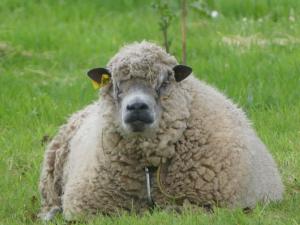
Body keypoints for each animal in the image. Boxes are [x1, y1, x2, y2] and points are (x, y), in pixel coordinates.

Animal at [38, 40, 284, 220]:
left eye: (165, 82)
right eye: (115, 85)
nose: (137, 107)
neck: (149, 165)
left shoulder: (209, 206)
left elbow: (177, 209)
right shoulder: (90, 207)